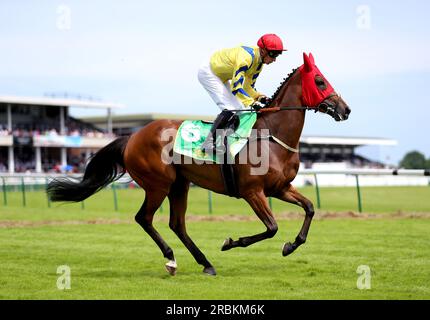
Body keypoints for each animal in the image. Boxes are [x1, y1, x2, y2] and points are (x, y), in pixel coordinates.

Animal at [47, 52, 350, 276]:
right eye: (320, 81)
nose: (345, 109)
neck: (272, 136)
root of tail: (132, 136)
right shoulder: (252, 191)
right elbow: (272, 227)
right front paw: (231, 242)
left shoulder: (280, 188)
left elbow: (309, 208)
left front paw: (291, 245)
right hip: (158, 184)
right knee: (144, 218)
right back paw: (171, 259)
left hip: (180, 184)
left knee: (177, 224)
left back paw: (206, 263)